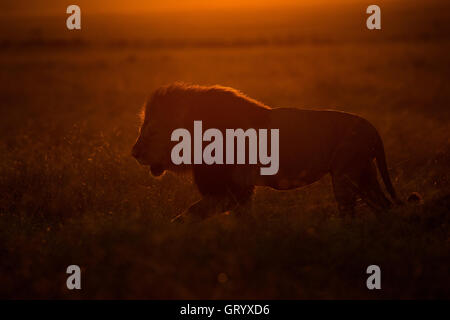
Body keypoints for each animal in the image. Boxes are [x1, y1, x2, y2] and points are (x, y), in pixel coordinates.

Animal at [132, 83, 402, 222]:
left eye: (152, 132)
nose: (134, 153)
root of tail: (372, 129)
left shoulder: (230, 190)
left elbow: (187, 216)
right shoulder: (241, 191)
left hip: (345, 173)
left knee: (350, 213)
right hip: (364, 173)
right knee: (384, 207)